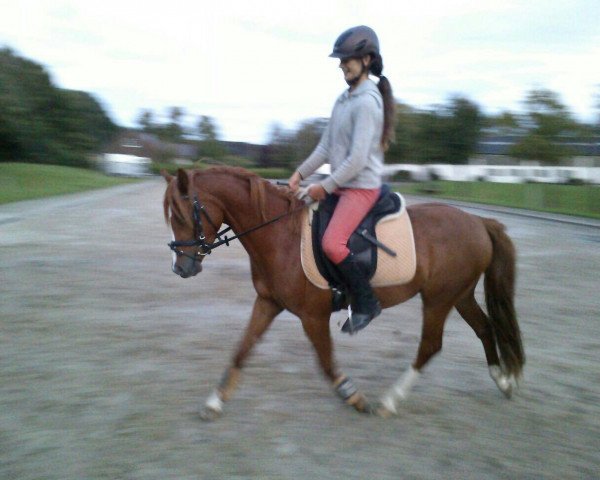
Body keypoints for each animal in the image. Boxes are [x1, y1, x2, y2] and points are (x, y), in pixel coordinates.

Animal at [162, 167, 524, 418]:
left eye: (180, 214)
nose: (180, 268)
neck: (281, 235)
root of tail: (478, 222)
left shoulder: (312, 315)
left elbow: (325, 361)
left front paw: (353, 395)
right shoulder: (268, 303)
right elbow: (242, 348)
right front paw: (214, 401)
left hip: (438, 299)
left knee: (431, 346)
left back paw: (389, 401)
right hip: (459, 295)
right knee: (485, 328)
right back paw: (503, 380)